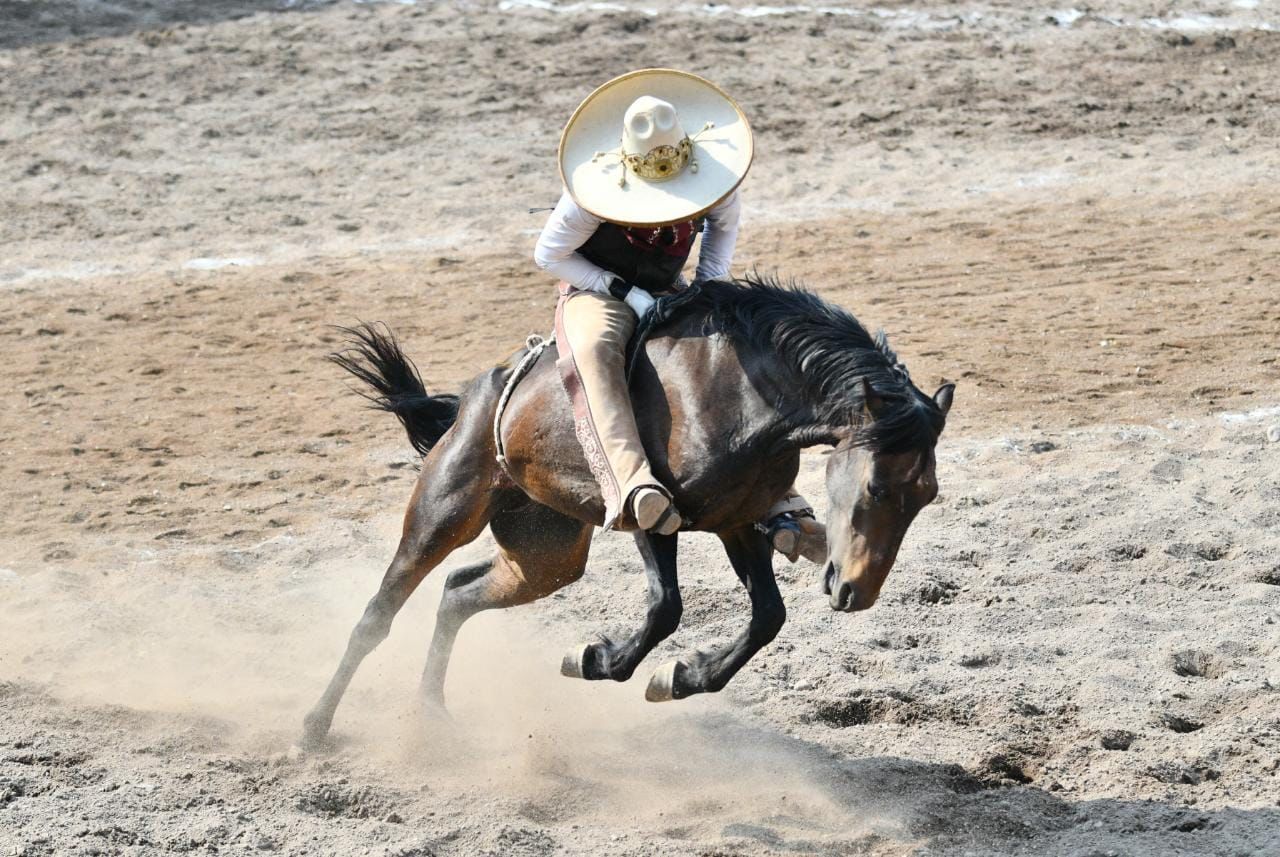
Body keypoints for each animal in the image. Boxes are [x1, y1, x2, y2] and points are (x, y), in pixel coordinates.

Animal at [304, 278, 957, 746]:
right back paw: (314, 729)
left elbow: (767, 616)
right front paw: (596, 659)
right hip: (444, 512)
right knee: (380, 615)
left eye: (927, 496)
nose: (856, 592)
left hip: (546, 553)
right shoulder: (651, 512)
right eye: (875, 486)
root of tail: (474, 396)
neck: (736, 390)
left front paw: (680, 678)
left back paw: (432, 710)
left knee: (458, 592)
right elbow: (666, 606)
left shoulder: (736, 519)